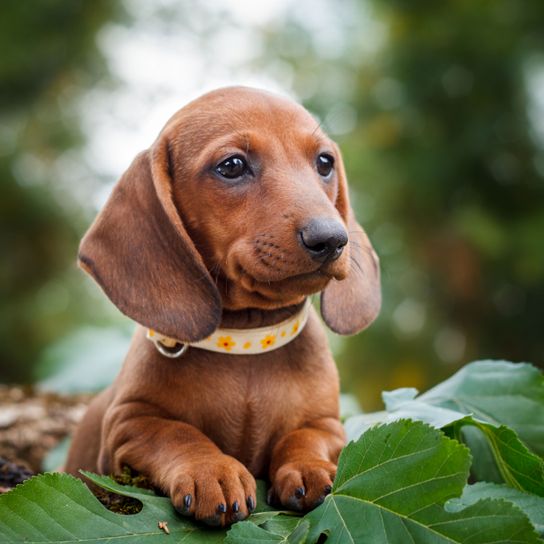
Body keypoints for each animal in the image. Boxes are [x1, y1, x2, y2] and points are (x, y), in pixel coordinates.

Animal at [66, 86, 380, 528]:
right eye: (232, 166)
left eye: (324, 162)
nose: (332, 238)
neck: (247, 341)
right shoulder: (127, 424)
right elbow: (176, 432)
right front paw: (212, 471)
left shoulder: (327, 423)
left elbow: (306, 436)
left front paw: (309, 466)